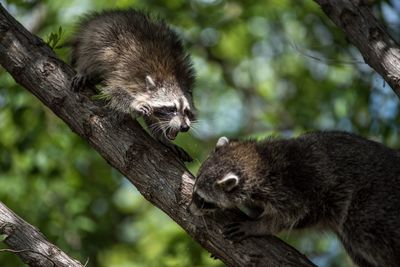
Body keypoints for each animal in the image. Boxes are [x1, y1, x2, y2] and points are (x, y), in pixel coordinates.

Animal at [72, 9, 197, 162]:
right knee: (89, 54)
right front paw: (134, 103)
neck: (171, 78)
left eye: (187, 111)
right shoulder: (127, 72)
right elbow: (116, 90)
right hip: (99, 36)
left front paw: (162, 138)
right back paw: (84, 70)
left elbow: (152, 120)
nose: (184, 127)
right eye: (171, 109)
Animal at [189, 132, 400, 267]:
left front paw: (257, 226)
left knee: (365, 232)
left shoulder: (290, 190)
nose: (189, 208)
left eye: (201, 199)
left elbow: (289, 216)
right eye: (194, 190)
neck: (255, 162)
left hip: (373, 203)